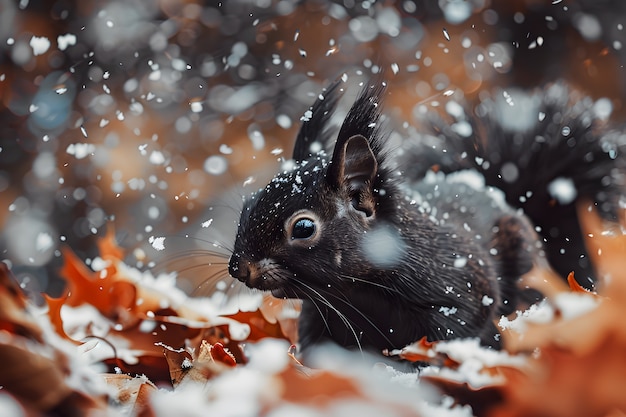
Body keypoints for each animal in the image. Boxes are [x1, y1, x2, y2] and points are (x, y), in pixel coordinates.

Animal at [227, 79, 620, 354]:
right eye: (247, 205)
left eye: (304, 227)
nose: (238, 268)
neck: (357, 295)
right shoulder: (319, 314)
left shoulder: (461, 291)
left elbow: (457, 329)